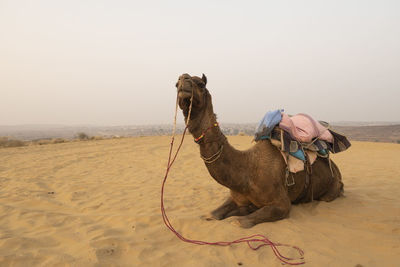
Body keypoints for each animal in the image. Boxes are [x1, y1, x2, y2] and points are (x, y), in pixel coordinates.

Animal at [175, 74, 344, 229]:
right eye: (176, 84)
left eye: (201, 84)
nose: (183, 79)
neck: (247, 171)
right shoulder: (235, 197)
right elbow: (211, 214)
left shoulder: (282, 204)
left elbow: (239, 221)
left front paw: (240, 216)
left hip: (332, 189)